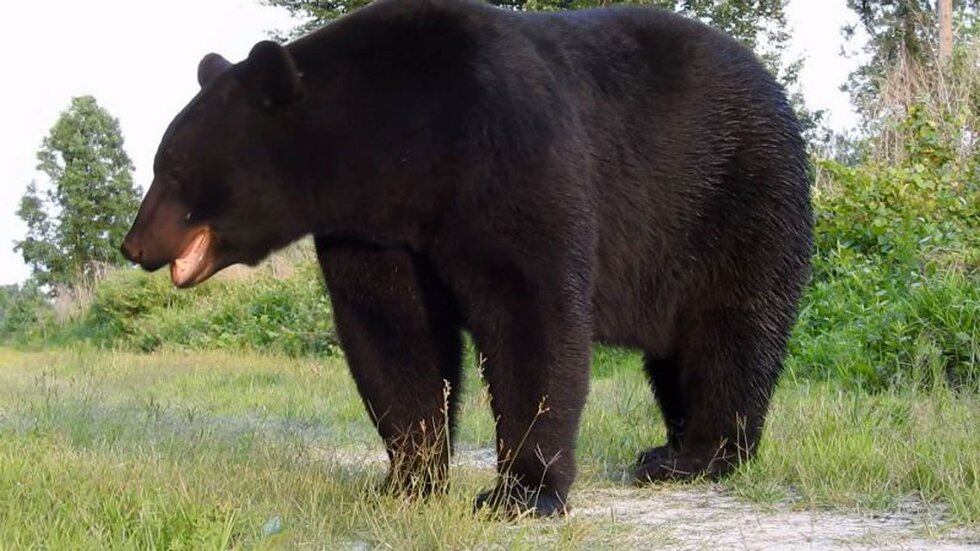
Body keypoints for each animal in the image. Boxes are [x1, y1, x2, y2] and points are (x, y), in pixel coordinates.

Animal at [122, 0, 812, 516]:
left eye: (173, 167)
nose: (134, 245)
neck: (400, 147)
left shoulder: (507, 150)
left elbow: (531, 312)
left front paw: (521, 494)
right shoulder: (372, 232)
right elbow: (393, 333)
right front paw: (407, 481)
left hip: (737, 198)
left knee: (730, 333)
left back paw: (701, 457)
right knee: (676, 356)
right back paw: (665, 451)